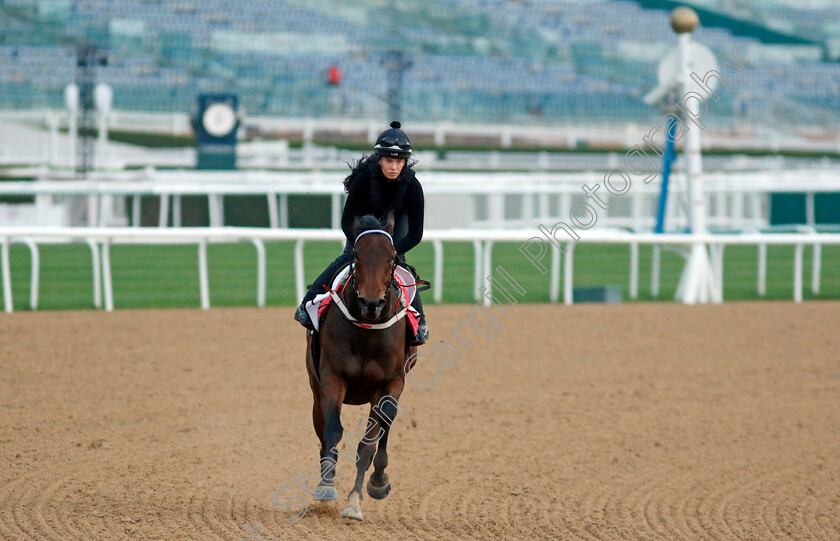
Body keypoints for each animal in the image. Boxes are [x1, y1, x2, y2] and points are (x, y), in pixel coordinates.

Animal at [306, 210, 416, 520]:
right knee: (321, 427)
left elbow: (367, 445)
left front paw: (355, 501)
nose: (371, 302)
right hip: (315, 388)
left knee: (385, 427)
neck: (367, 331)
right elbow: (332, 430)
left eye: (392, 256)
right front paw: (326, 486)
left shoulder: (390, 384)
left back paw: (378, 480)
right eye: (356, 252)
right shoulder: (332, 378)